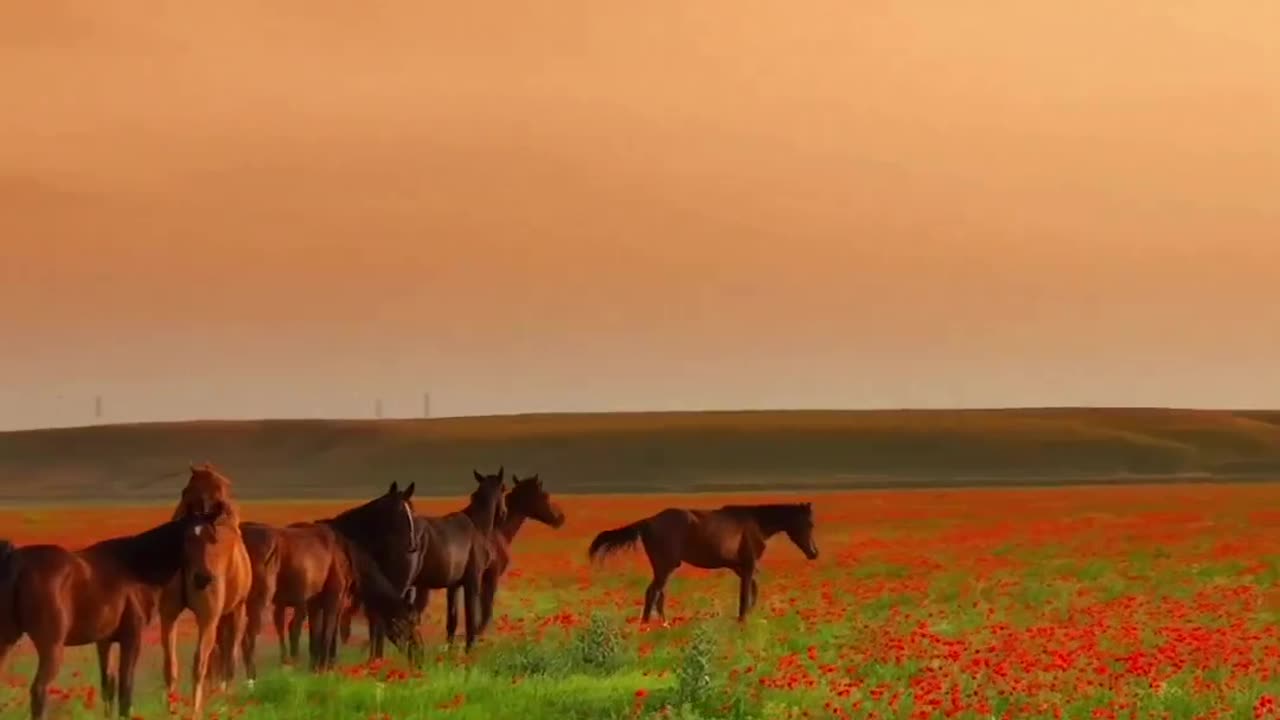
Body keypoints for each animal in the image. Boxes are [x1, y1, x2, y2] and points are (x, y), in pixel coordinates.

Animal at [0, 507, 221, 717]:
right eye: (188, 538)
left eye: (213, 539)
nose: (204, 578)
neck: (136, 568)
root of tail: (16, 561)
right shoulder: (131, 638)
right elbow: (125, 688)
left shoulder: (104, 641)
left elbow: (108, 686)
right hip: (51, 646)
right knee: (39, 690)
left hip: (7, 641)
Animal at [158, 461, 250, 712]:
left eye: (184, 491)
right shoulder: (236, 609)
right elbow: (229, 657)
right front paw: (225, 698)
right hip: (209, 617)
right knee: (200, 662)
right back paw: (196, 711)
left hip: (168, 615)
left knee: (171, 665)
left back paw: (172, 710)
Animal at [240, 479, 419, 671]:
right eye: (399, 511)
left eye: (412, 510)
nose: (412, 545)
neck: (344, 543)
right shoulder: (334, 598)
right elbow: (328, 634)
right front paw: (326, 667)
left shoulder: (317, 602)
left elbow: (318, 635)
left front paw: (316, 666)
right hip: (260, 602)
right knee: (250, 638)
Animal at [588, 499, 819, 622]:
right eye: (809, 524)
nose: (814, 553)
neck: (756, 523)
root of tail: (647, 521)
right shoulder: (748, 565)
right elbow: (745, 595)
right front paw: (742, 620)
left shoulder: (739, 567)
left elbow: (753, 590)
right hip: (665, 566)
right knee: (653, 592)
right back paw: (648, 625)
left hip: (665, 568)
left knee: (659, 594)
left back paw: (662, 623)